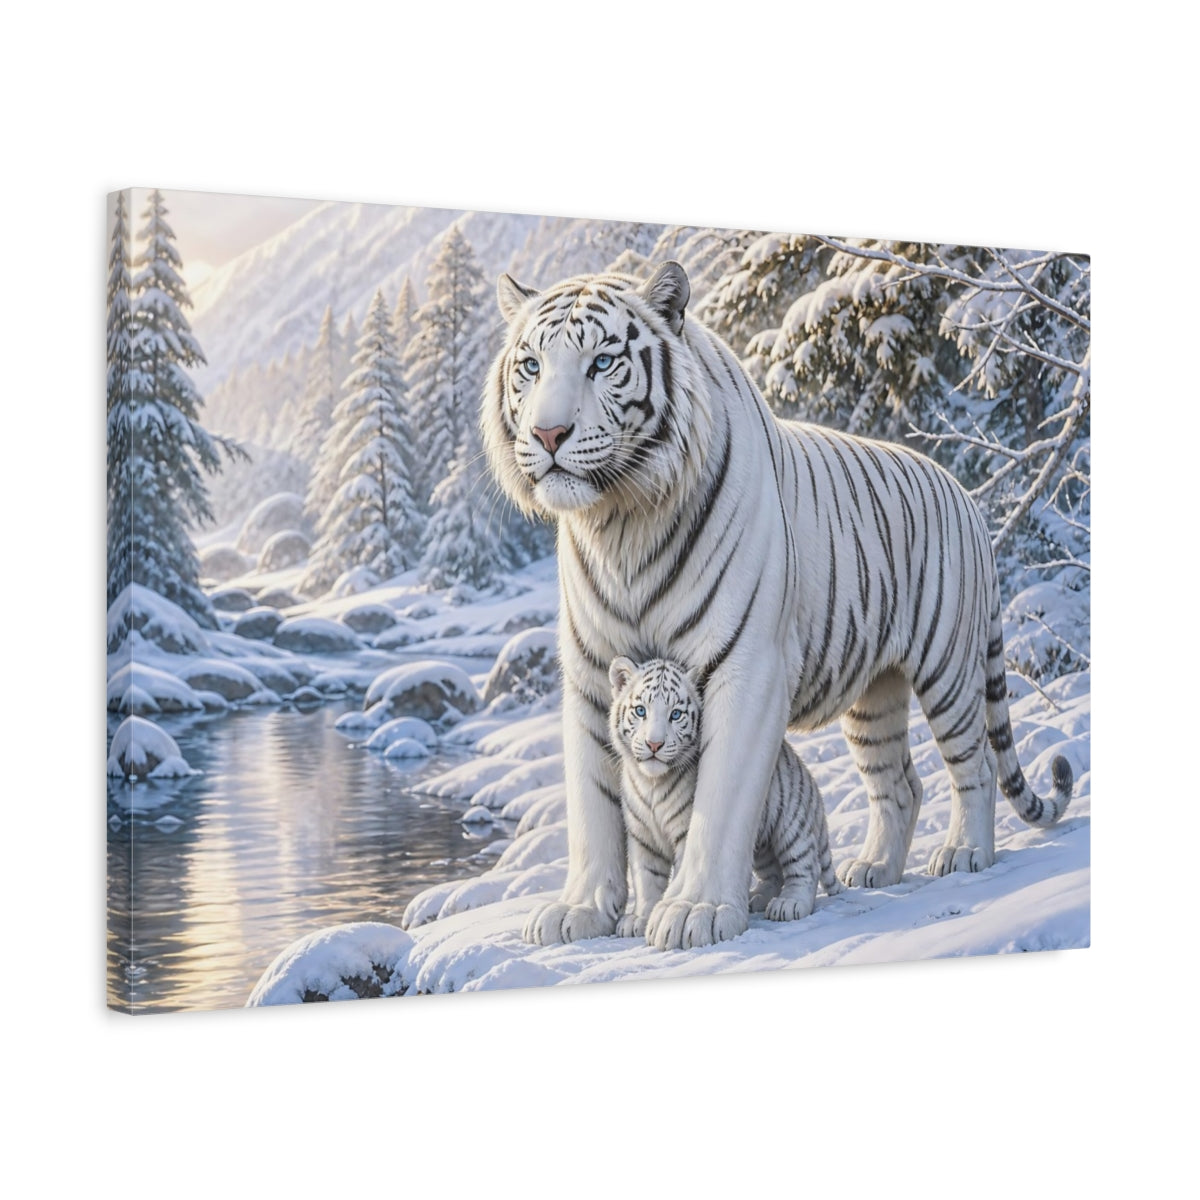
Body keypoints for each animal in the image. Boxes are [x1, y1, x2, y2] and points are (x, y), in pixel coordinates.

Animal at [608, 655, 841, 937]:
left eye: (675, 714)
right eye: (641, 710)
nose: (654, 744)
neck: (651, 783)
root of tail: (810, 781)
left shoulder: (685, 832)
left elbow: (681, 873)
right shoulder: (642, 838)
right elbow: (645, 880)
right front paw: (640, 919)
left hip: (792, 827)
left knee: (805, 867)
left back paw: (789, 904)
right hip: (761, 844)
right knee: (773, 872)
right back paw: (758, 898)